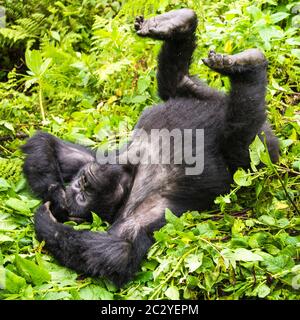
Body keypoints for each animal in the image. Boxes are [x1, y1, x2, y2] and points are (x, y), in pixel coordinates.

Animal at [21, 8, 278, 286]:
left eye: (84, 185)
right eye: (82, 196)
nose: (79, 184)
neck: (130, 176)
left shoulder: (92, 159)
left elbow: (48, 144)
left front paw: (53, 196)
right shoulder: (142, 212)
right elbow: (118, 251)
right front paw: (49, 216)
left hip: (205, 98)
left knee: (176, 84)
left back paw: (177, 26)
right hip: (255, 155)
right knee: (239, 134)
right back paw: (250, 70)